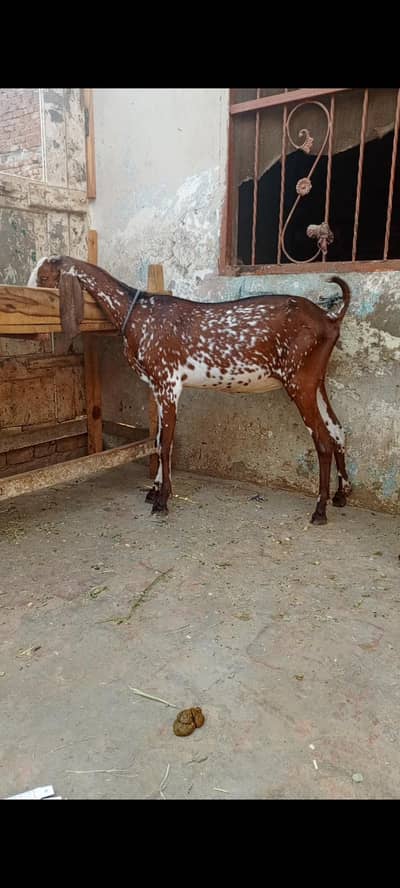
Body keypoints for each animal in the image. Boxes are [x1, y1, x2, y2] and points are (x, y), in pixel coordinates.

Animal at [28, 255, 352, 525]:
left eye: (43, 277)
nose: (36, 334)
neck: (138, 314)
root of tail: (330, 319)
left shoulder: (168, 383)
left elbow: (166, 442)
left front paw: (162, 501)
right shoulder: (158, 388)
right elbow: (159, 440)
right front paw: (155, 489)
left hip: (299, 382)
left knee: (323, 440)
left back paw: (320, 510)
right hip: (316, 382)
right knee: (337, 430)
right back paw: (341, 495)